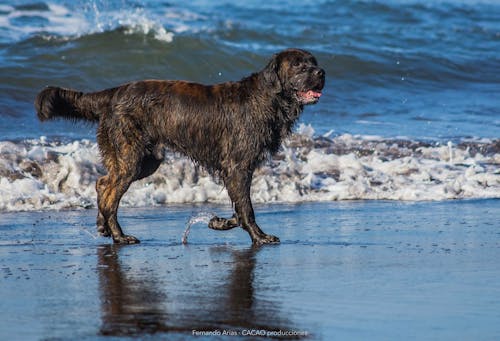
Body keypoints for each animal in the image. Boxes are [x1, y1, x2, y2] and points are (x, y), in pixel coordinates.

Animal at [35, 48, 324, 244]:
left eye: (314, 63)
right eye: (299, 66)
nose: (322, 73)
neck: (267, 98)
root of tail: (113, 93)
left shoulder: (234, 170)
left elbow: (238, 206)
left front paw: (219, 222)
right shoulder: (238, 166)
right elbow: (246, 208)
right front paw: (259, 236)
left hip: (145, 160)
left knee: (102, 183)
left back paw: (103, 227)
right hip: (131, 157)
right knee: (110, 194)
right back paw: (119, 235)